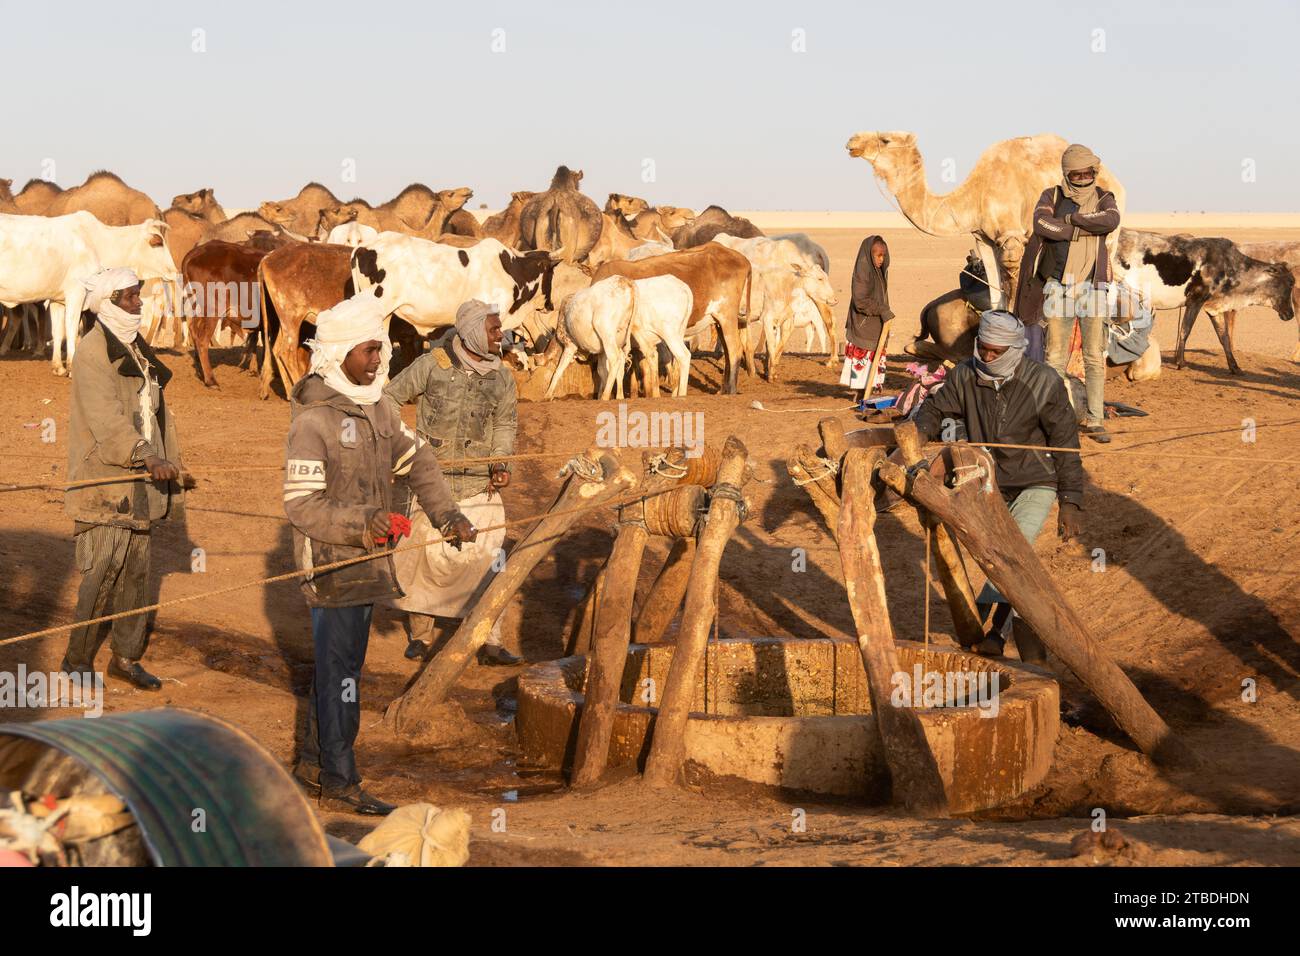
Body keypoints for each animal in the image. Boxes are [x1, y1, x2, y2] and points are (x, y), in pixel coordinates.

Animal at [0, 212, 178, 374]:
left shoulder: (57, 300)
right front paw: (72, 367)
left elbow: (58, 332)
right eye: (158, 243)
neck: (95, 243)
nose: (175, 271)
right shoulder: (77, 293)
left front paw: (58, 367)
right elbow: (71, 329)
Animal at [1107, 228, 1300, 374]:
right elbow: (1185, 330)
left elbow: (1224, 337)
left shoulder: (1214, 308)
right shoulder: (1195, 300)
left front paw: (1235, 367)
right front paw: (1180, 362)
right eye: (1290, 282)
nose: (1290, 314)